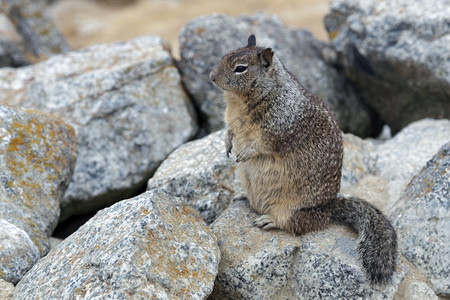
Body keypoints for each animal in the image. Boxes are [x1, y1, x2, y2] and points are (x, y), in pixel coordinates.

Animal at [209, 34, 396, 284]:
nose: (211, 77)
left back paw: (268, 220)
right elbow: (229, 130)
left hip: (292, 209)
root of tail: (328, 210)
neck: (240, 100)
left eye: (241, 68)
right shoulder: (230, 118)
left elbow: (262, 144)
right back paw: (242, 195)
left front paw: (244, 153)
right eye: (224, 55)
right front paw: (227, 144)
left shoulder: (278, 126)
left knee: (294, 225)